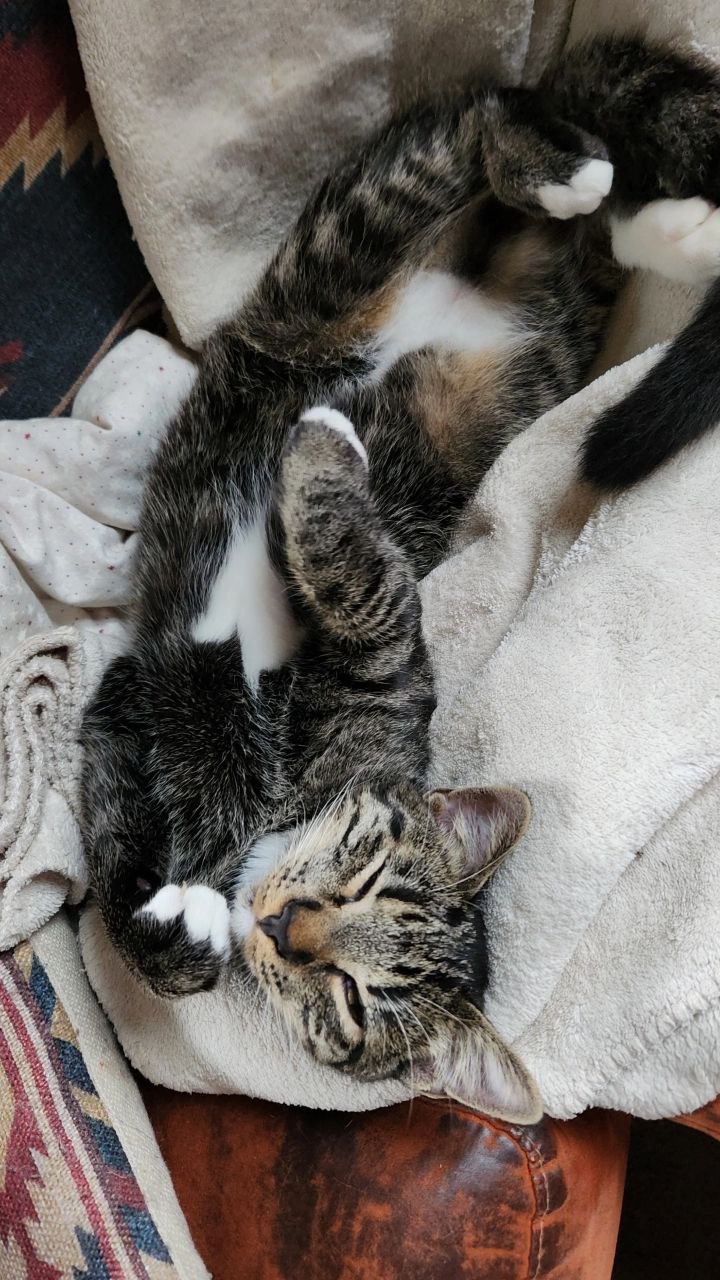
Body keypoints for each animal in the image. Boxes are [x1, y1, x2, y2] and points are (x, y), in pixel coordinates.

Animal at [80, 37, 720, 1122]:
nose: (286, 924)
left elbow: (362, 577)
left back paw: (667, 228)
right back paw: (564, 170)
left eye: (347, 1000)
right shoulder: (142, 693)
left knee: (586, 218)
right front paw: (169, 935)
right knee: (484, 126)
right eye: (367, 867)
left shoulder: (362, 648)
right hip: (336, 258)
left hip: (548, 333)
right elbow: (113, 822)